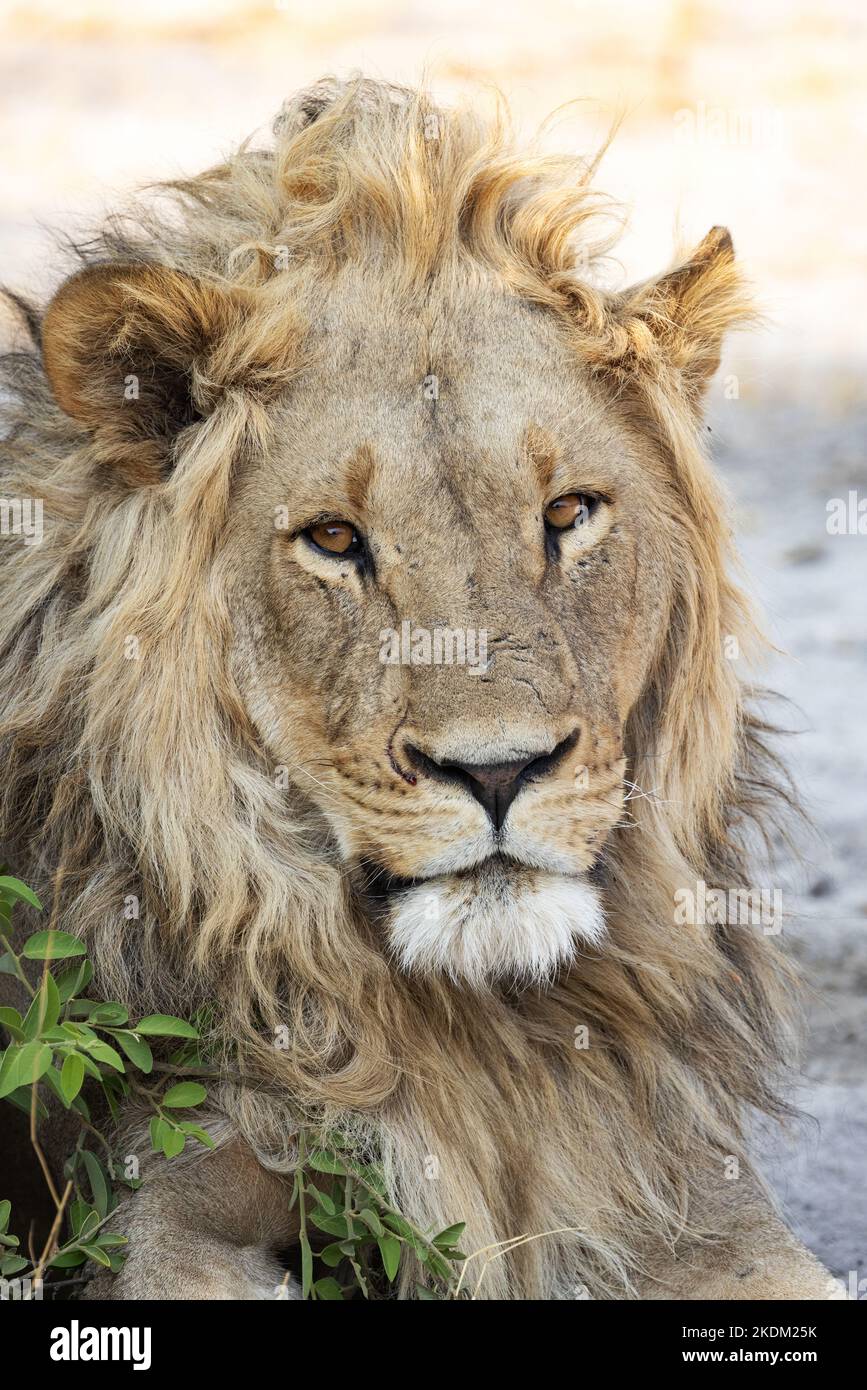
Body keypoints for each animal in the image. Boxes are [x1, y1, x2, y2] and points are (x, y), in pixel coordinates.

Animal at [0, 78, 839, 1301]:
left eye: (567, 512)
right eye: (334, 539)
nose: (498, 772)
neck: (484, 1024)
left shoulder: (693, 1192)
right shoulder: (163, 1196)